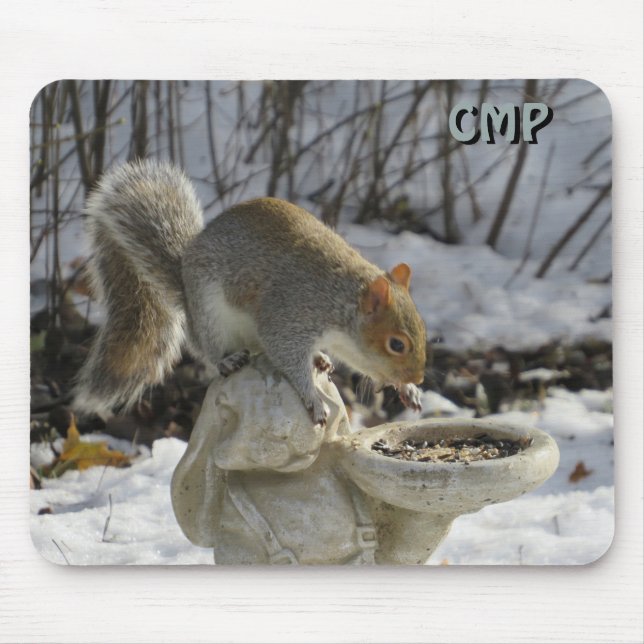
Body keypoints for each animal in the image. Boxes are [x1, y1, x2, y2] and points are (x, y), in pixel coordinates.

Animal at [74, 160, 427, 425]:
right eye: (397, 344)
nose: (420, 377)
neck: (341, 300)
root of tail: (185, 287)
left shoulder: (351, 346)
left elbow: (360, 362)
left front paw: (408, 390)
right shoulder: (290, 313)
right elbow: (285, 353)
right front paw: (313, 399)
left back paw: (320, 358)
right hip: (210, 316)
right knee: (208, 350)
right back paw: (227, 360)